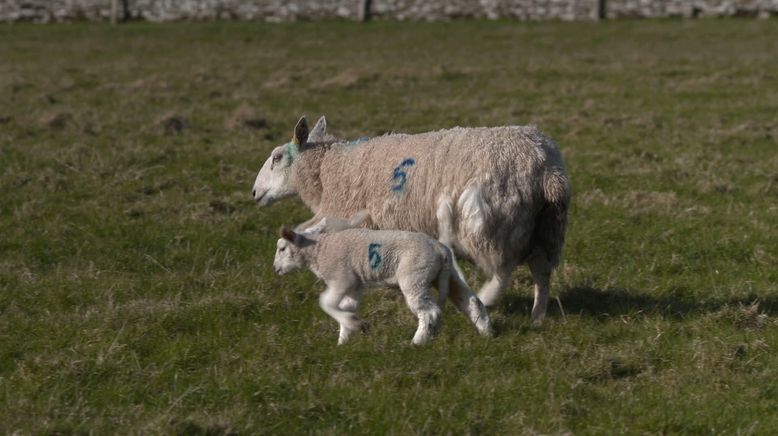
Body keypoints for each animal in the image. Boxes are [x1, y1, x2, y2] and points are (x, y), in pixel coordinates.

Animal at [252, 116, 568, 324]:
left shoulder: (349, 219)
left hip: (496, 225)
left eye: (277, 157)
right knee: (541, 271)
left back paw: (487, 299)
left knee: (503, 271)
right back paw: (537, 317)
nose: (254, 193)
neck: (329, 171)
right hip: (546, 226)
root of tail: (546, 168)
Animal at [272, 220, 492, 346]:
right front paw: (345, 339)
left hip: (414, 276)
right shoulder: (354, 286)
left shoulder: (342, 279)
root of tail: (441, 250)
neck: (318, 251)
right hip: (446, 275)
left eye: (282, 248)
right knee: (469, 300)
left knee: (429, 311)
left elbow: (325, 302)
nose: (275, 269)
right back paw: (486, 332)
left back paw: (417, 342)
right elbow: (346, 307)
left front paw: (353, 326)